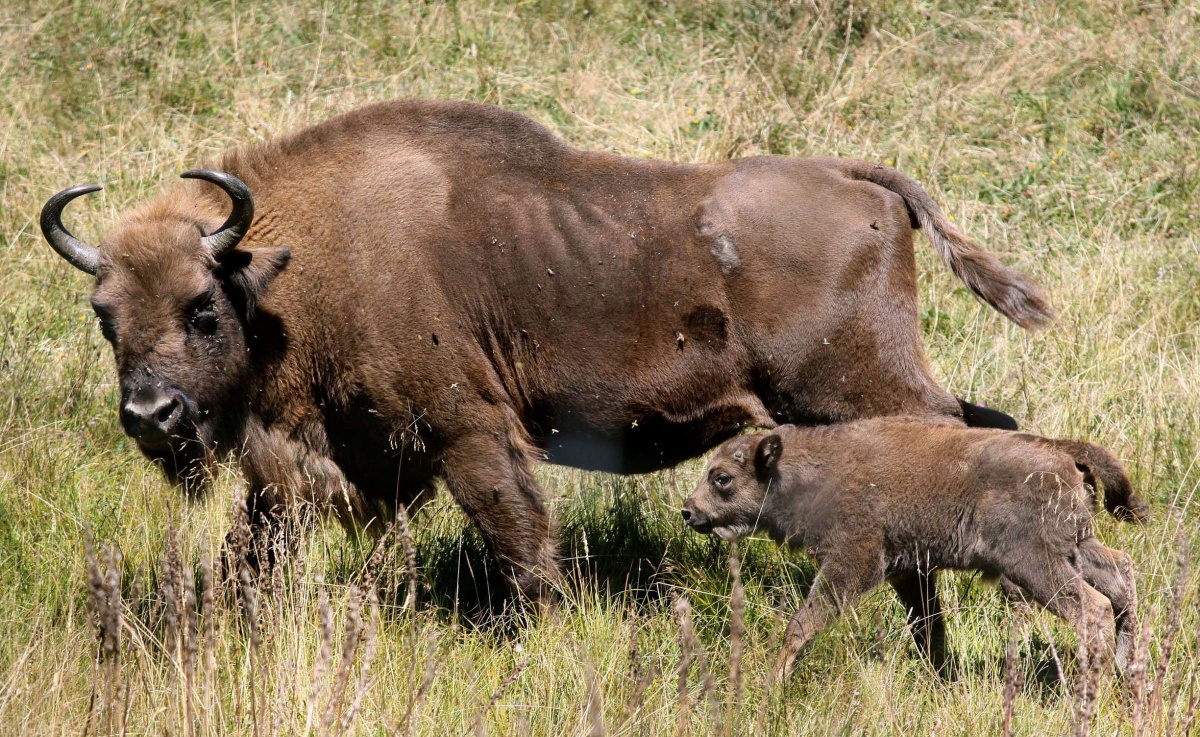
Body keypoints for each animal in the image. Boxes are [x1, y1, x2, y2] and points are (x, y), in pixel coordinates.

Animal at [39, 99, 1051, 607]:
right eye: (104, 314)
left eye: (203, 307)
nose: (150, 416)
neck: (297, 261)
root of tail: (857, 180)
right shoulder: (334, 461)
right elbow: (251, 548)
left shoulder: (468, 433)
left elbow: (519, 539)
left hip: (855, 388)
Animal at [681, 422, 1147, 681]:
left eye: (722, 478)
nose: (689, 511)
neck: (809, 471)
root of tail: (1062, 449)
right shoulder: (908, 572)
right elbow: (929, 629)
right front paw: (943, 680)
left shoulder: (853, 561)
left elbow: (803, 622)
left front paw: (775, 683)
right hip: (1078, 547)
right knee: (1121, 577)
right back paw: (1127, 674)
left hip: (1035, 563)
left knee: (1092, 607)